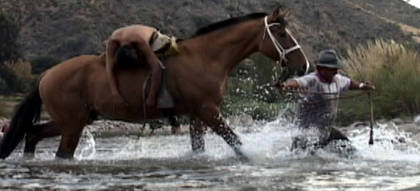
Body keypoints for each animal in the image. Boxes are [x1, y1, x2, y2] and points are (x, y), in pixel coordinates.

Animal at [0, 8, 308, 159]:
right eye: (281, 34)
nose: (303, 65)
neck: (206, 57)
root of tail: (45, 75)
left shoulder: (197, 115)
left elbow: (200, 148)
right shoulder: (208, 111)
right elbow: (237, 143)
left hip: (73, 120)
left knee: (33, 134)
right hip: (73, 125)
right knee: (60, 153)